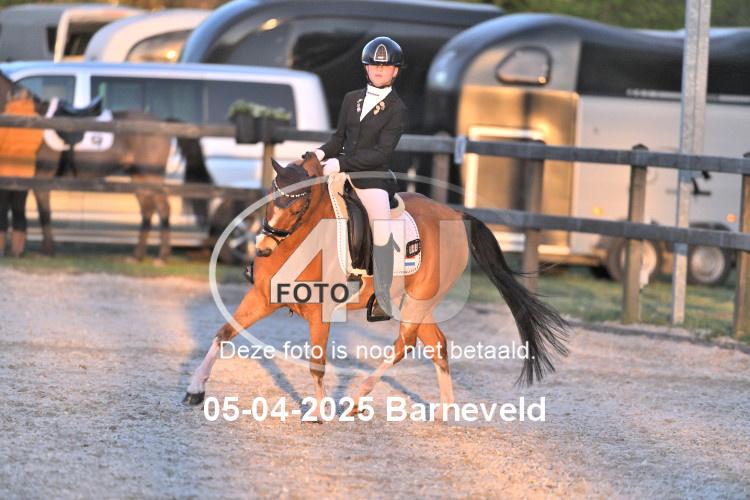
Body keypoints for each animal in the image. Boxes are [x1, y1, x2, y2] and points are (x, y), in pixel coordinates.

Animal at [183, 152, 569, 419]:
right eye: (271, 196)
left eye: (299, 206)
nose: (263, 248)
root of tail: (455, 215)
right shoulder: (262, 298)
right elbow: (223, 334)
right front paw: (195, 389)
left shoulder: (321, 314)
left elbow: (317, 363)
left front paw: (318, 413)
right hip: (415, 304)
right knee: (437, 346)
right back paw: (444, 411)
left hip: (418, 301)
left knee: (405, 345)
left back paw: (356, 400)